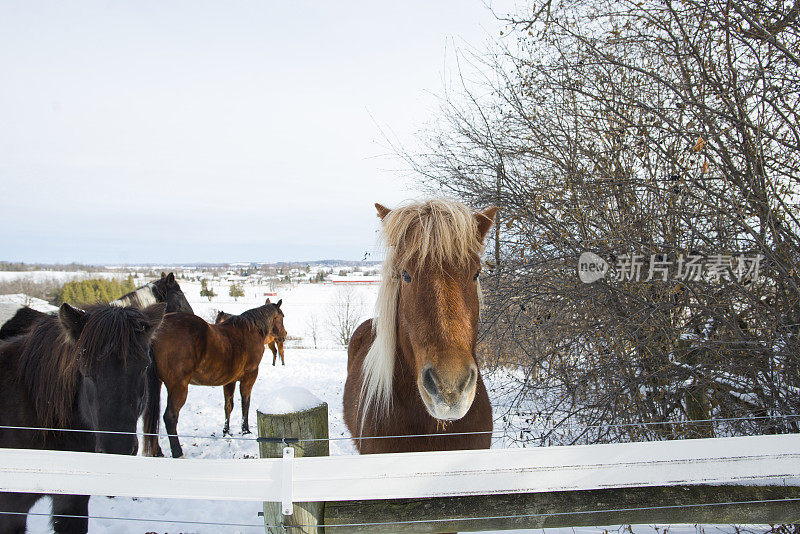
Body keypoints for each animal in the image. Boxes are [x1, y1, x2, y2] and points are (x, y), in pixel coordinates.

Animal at [145, 300, 286, 458]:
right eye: (282, 317)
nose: (284, 334)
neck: (252, 330)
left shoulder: (230, 380)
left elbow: (228, 406)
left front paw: (226, 432)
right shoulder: (249, 376)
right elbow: (245, 403)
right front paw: (245, 430)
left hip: (156, 385)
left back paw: (157, 451)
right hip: (178, 387)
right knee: (170, 417)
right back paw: (177, 452)